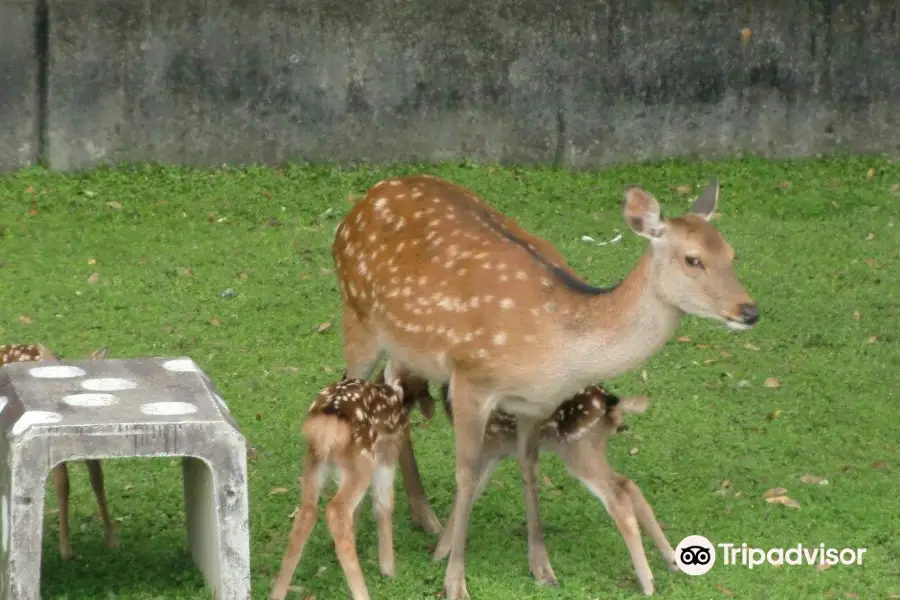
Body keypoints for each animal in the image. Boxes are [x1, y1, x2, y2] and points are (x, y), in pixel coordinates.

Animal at [268, 364, 428, 600]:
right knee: (337, 510)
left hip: (314, 463)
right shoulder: (387, 455)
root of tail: (327, 424)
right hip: (363, 461)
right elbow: (383, 504)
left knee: (306, 512)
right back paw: (363, 593)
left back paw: (277, 593)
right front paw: (388, 570)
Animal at [330, 175, 760, 600]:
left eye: (732, 254)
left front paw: (542, 567)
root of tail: (360, 205)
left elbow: (528, 464)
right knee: (351, 383)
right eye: (693, 259)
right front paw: (455, 580)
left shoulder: (535, 403)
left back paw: (424, 516)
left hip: (405, 348)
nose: (749, 311)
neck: (558, 348)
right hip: (358, 317)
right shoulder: (471, 379)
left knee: (393, 394)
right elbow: (466, 474)